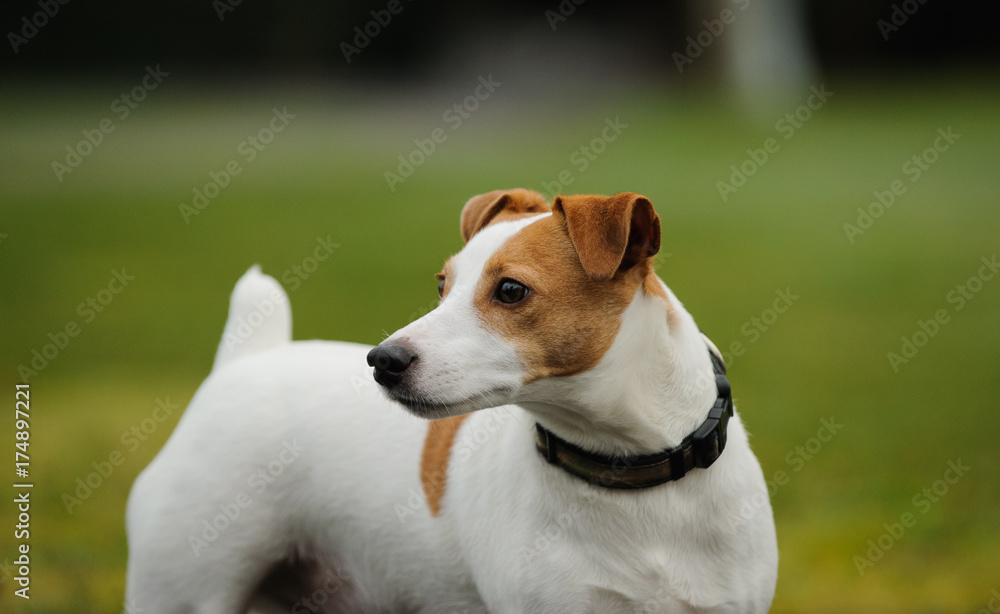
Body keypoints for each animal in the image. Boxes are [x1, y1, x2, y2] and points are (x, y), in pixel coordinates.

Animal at [127, 190, 780, 612]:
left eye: (511, 290)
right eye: (442, 286)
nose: (382, 360)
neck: (631, 469)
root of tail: (245, 361)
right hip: (180, 588)